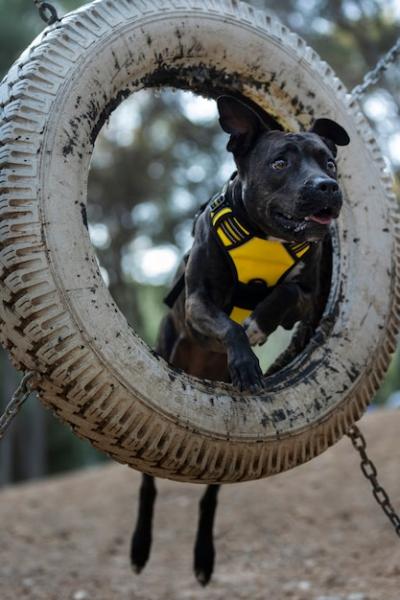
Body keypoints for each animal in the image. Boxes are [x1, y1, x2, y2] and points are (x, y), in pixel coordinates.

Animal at [130, 95, 348, 584]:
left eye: (328, 161)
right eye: (281, 162)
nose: (327, 186)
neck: (266, 236)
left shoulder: (308, 296)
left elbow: (283, 292)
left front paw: (258, 327)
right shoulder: (197, 305)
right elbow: (229, 325)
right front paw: (246, 360)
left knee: (211, 494)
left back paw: (203, 557)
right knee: (148, 484)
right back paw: (139, 546)